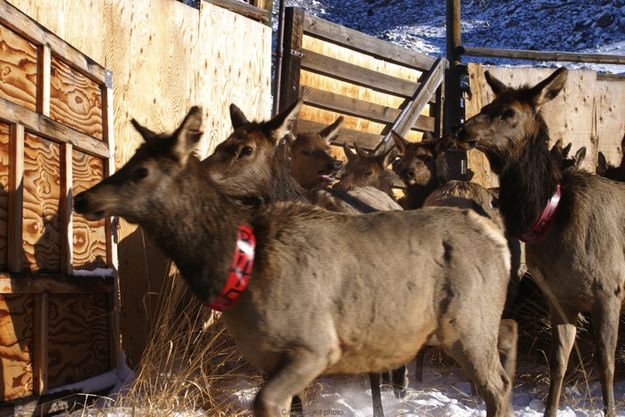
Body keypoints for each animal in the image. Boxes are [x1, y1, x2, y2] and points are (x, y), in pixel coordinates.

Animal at [74, 105, 516, 416]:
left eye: (142, 171)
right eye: (221, 145)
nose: (82, 197)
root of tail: (499, 240)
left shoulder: (319, 343)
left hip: (462, 321)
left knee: (492, 379)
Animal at [454, 66, 624, 414]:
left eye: (509, 112)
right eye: (487, 105)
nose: (461, 129)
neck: (551, 216)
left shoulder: (609, 288)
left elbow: (606, 364)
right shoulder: (558, 297)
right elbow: (558, 361)